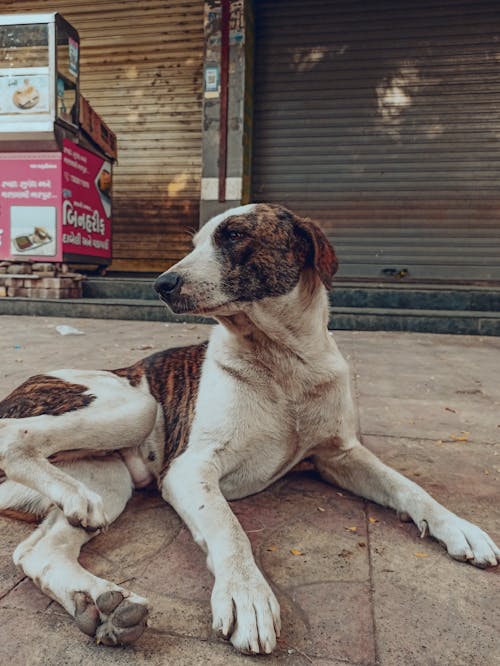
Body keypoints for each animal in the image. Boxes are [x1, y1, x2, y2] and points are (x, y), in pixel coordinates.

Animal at [0, 201, 500, 648]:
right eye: (197, 243)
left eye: (235, 235)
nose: (162, 283)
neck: (283, 361)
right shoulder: (190, 469)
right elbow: (228, 527)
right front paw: (247, 595)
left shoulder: (341, 454)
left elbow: (409, 488)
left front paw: (460, 528)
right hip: (135, 406)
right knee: (14, 438)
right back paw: (79, 513)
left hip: (109, 477)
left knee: (37, 553)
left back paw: (103, 606)